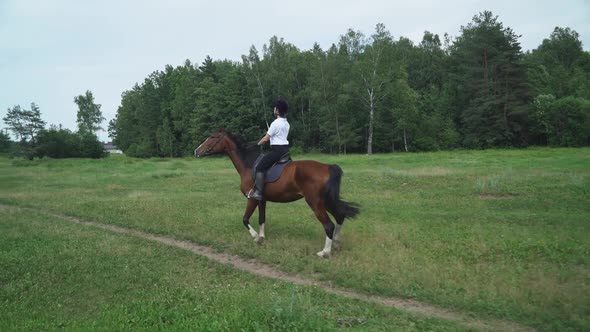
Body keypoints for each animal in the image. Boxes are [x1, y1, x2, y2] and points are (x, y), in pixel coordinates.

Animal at [195, 129, 360, 256]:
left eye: (212, 137)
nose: (197, 151)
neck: (249, 165)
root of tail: (328, 167)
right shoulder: (261, 200)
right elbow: (261, 218)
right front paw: (262, 237)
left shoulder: (252, 198)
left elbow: (245, 219)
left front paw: (256, 237)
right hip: (326, 201)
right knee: (340, 216)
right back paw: (336, 244)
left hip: (315, 202)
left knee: (329, 225)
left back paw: (325, 252)